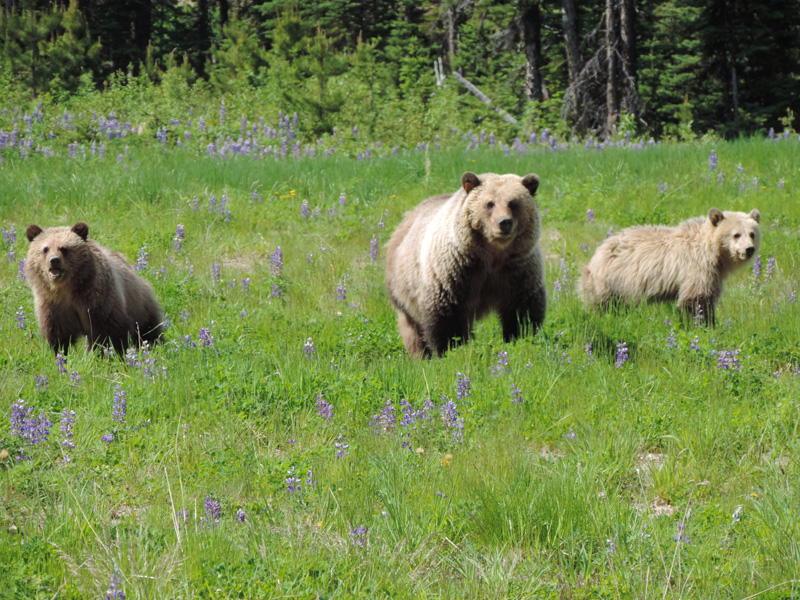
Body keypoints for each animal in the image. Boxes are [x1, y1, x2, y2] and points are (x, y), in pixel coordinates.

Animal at [25, 222, 164, 354]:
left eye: (64, 248)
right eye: (45, 249)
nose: (54, 260)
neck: (67, 288)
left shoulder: (97, 298)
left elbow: (109, 330)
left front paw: (110, 353)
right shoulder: (52, 305)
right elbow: (58, 334)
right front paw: (58, 352)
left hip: (139, 304)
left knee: (148, 329)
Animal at [385, 172, 546, 358]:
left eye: (513, 203)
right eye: (490, 203)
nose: (504, 222)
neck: (491, 255)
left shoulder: (517, 269)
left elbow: (522, 310)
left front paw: (521, 337)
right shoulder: (455, 272)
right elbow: (446, 316)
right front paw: (449, 349)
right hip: (403, 288)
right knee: (412, 329)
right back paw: (421, 356)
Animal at [579, 208, 761, 325]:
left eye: (752, 234)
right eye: (736, 234)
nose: (749, 249)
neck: (713, 253)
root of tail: (596, 254)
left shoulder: (714, 272)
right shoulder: (697, 268)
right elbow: (696, 299)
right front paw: (704, 324)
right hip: (611, 280)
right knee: (604, 306)